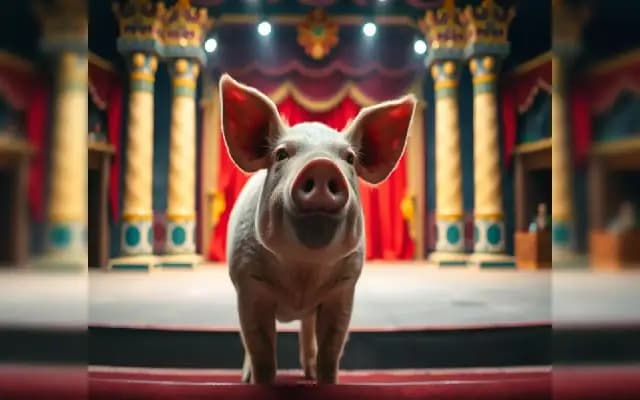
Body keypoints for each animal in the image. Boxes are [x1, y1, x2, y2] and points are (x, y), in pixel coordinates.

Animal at [219, 74, 416, 384]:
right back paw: (245, 377)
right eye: (281, 154)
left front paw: (324, 382)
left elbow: (330, 352)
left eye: (349, 158)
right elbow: (262, 352)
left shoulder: (344, 288)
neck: (303, 273)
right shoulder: (248, 283)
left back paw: (308, 374)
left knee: (307, 329)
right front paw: (258, 383)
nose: (322, 165)